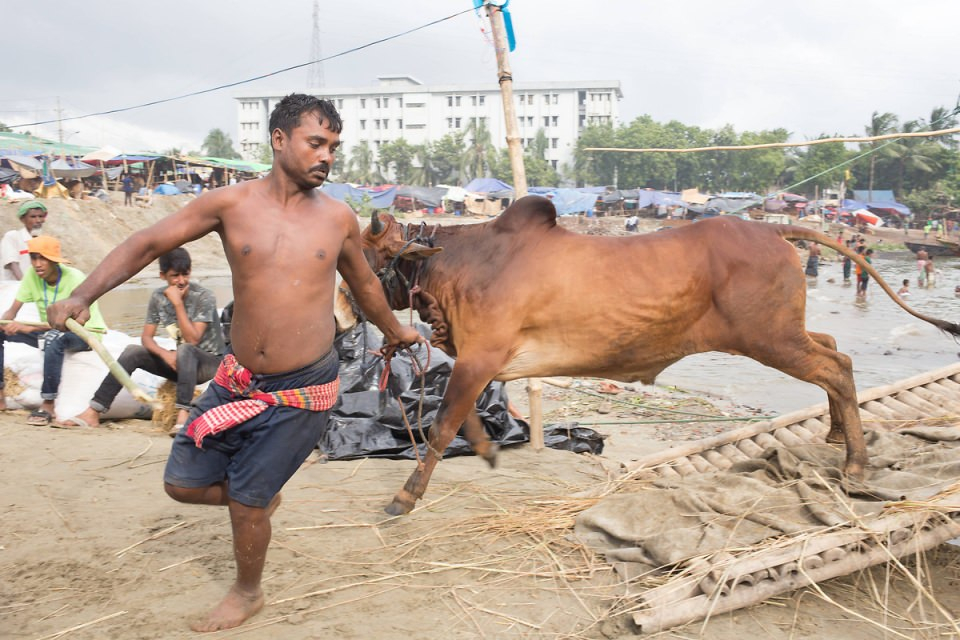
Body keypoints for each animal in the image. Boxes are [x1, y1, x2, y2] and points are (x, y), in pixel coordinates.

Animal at [362, 195, 960, 516]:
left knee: (836, 366)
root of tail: (769, 229)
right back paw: (838, 436)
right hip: (779, 334)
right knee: (836, 353)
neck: (458, 261)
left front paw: (404, 498)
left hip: (768, 338)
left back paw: (855, 463)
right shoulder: (478, 363)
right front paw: (485, 452)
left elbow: (442, 427)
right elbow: (462, 423)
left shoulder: (480, 357)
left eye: (368, 255)